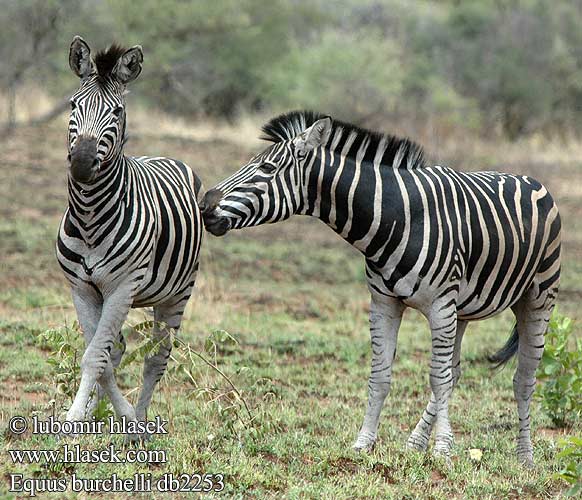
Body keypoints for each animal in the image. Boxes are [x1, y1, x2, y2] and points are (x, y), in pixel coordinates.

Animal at [57, 37, 203, 432]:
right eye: (73, 105)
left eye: (117, 111)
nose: (82, 163)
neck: (90, 216)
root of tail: (163, 156)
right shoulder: (82, 289)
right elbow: (100, 356)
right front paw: (84, 414)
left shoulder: (122, 286)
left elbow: (96, 356)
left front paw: (120, 418)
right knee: (117, 349)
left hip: (176, 294)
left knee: (157, 358)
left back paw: (140, 419)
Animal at [203, 109, 564, 464]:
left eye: (266, 168)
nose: (205, 205)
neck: (397, 216)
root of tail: (532, 180)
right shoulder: (384, 303)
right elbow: (381, 375)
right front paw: (364, 442)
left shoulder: (439, 305)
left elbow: (437, 378)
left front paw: (443, 450)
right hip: (461, 310)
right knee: (456, 370)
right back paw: (416, 441)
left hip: (536, 298)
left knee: (522, 378)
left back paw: (525, 457)